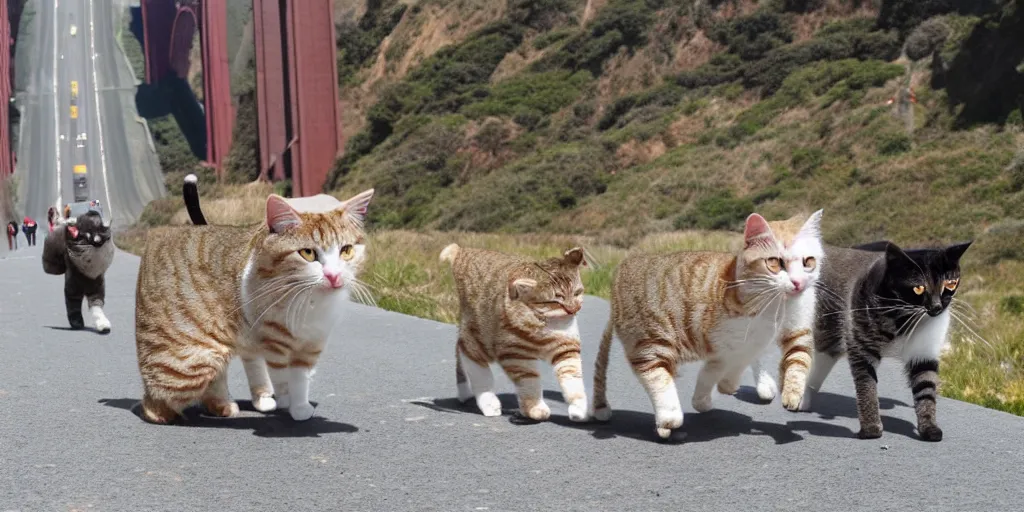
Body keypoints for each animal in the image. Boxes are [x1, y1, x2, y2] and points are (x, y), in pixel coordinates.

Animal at [134, 176, 374, 423]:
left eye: (346, 250)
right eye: (307, 253)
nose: (333, 275)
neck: (310, 299)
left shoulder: (312, 342)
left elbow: (300, 376)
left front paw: (299, 405)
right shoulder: (274, 342)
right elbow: (281, 377)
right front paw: (287, 401)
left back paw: (229, 404)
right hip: (191, 364)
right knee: (159, 400)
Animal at [440, 245, 593, 421]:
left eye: (577, 293)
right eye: (556, 301)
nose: (573, 309)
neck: (545, 320)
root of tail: (464, 250)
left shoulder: (566, 350)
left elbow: (572, 379)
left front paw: (579, 407)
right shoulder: (516, 355)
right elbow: (529, 381)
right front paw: (534, 408)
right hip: (477, 338)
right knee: (473, 363)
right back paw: (485, 401)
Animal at [593, 209, 823, 438]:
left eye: (808, 261)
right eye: (775, 262)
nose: (798, 283)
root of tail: (623, 266)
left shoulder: (779, 335)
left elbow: (793, 360)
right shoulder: (737, 341)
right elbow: (732, 363)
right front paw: (724, 387)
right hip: (650, 339)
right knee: (655, 374)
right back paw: (668, 416)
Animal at [794, 237, 970, 442]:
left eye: (950, 284)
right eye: (919, 288)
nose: (936, 307)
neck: (904, 317)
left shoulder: (924, 352)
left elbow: (926, 389)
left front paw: (929, 427)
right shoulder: (862, 347)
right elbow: (867, 388)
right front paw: (871, 428)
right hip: (828, 329)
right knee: (818, 361)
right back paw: (801, 398)